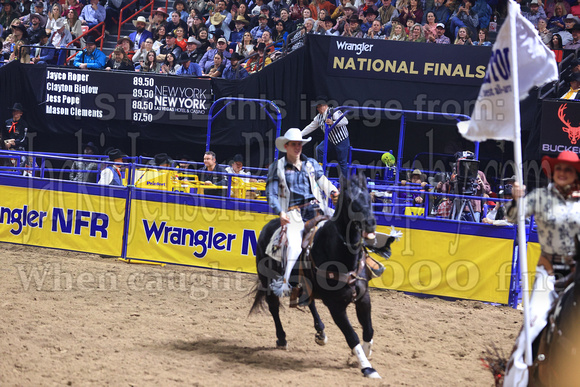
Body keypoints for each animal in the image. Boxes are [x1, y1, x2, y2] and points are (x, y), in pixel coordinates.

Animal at [250, 174, 390, 380]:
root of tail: (267, 227)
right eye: (350, 200)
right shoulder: (335, 306)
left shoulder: (363, 298)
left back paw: (321, 332)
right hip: (267, 280)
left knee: (309, 302)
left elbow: (368, 329)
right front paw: (367, 367)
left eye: (369, 197)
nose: (371, 223)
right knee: (273, 307)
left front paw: (362, 354)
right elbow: (352, 335)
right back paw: (282, 338)